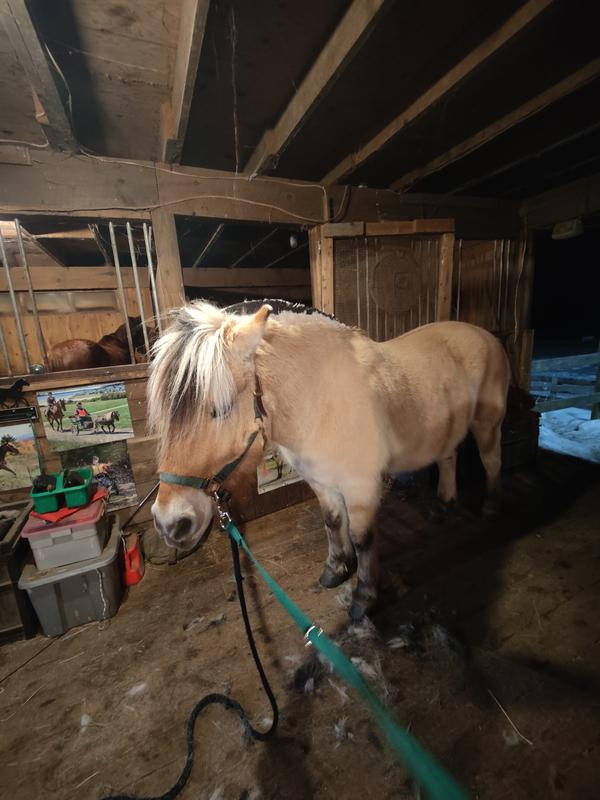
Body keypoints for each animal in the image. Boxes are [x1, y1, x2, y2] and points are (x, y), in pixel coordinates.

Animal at [147, 301, 510, 621]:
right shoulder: (321, 482)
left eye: (221, 409)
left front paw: (364, 597)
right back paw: (444, 505)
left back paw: (492, 506)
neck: (320, 400)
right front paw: (335, 570)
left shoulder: (361, 487)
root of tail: (486, 335)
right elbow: (334, 524)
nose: (170, 523)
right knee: (449, 456)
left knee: (492, 462)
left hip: (487, 425)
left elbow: (364, 539)